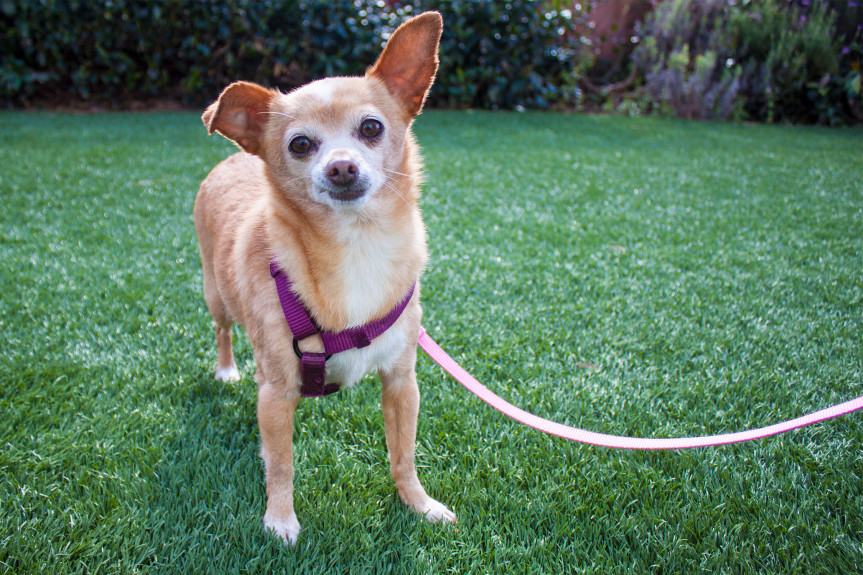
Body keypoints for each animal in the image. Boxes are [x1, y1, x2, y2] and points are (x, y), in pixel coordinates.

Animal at [192, 12, 456, 544]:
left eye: (371, 128)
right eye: (300, 144)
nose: (341, 166)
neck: (356, 245)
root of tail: (234, 157)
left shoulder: (402, 381)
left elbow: (404, 454)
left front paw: (418, 504)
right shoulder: (276, 395)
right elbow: (281, 464)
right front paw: (280, 520)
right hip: (215, 294)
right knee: (223, 329)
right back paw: (227, 370)